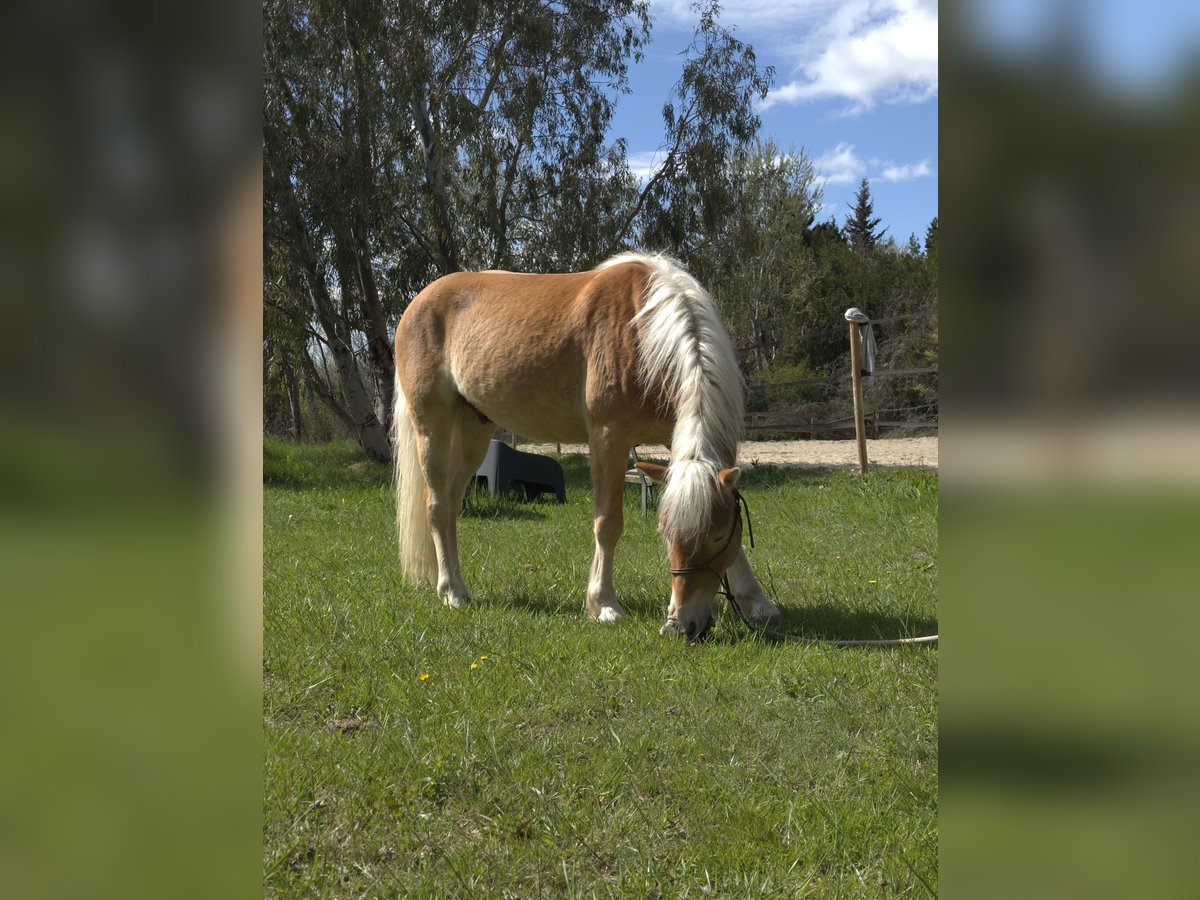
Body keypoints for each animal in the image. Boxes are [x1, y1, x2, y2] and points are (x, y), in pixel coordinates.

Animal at [393, 250, 782, 638]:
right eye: (664, 533)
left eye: (718, 537)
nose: (682, 624)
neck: (642, 330)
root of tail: (416, 304)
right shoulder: (609, 437)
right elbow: (607, 523)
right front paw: (604, 604)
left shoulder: (676, 442)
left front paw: (757, 603)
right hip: (432, 425)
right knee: (437, 505)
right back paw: (452, 592)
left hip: (475, 429)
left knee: (451, 503)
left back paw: (453, 583)